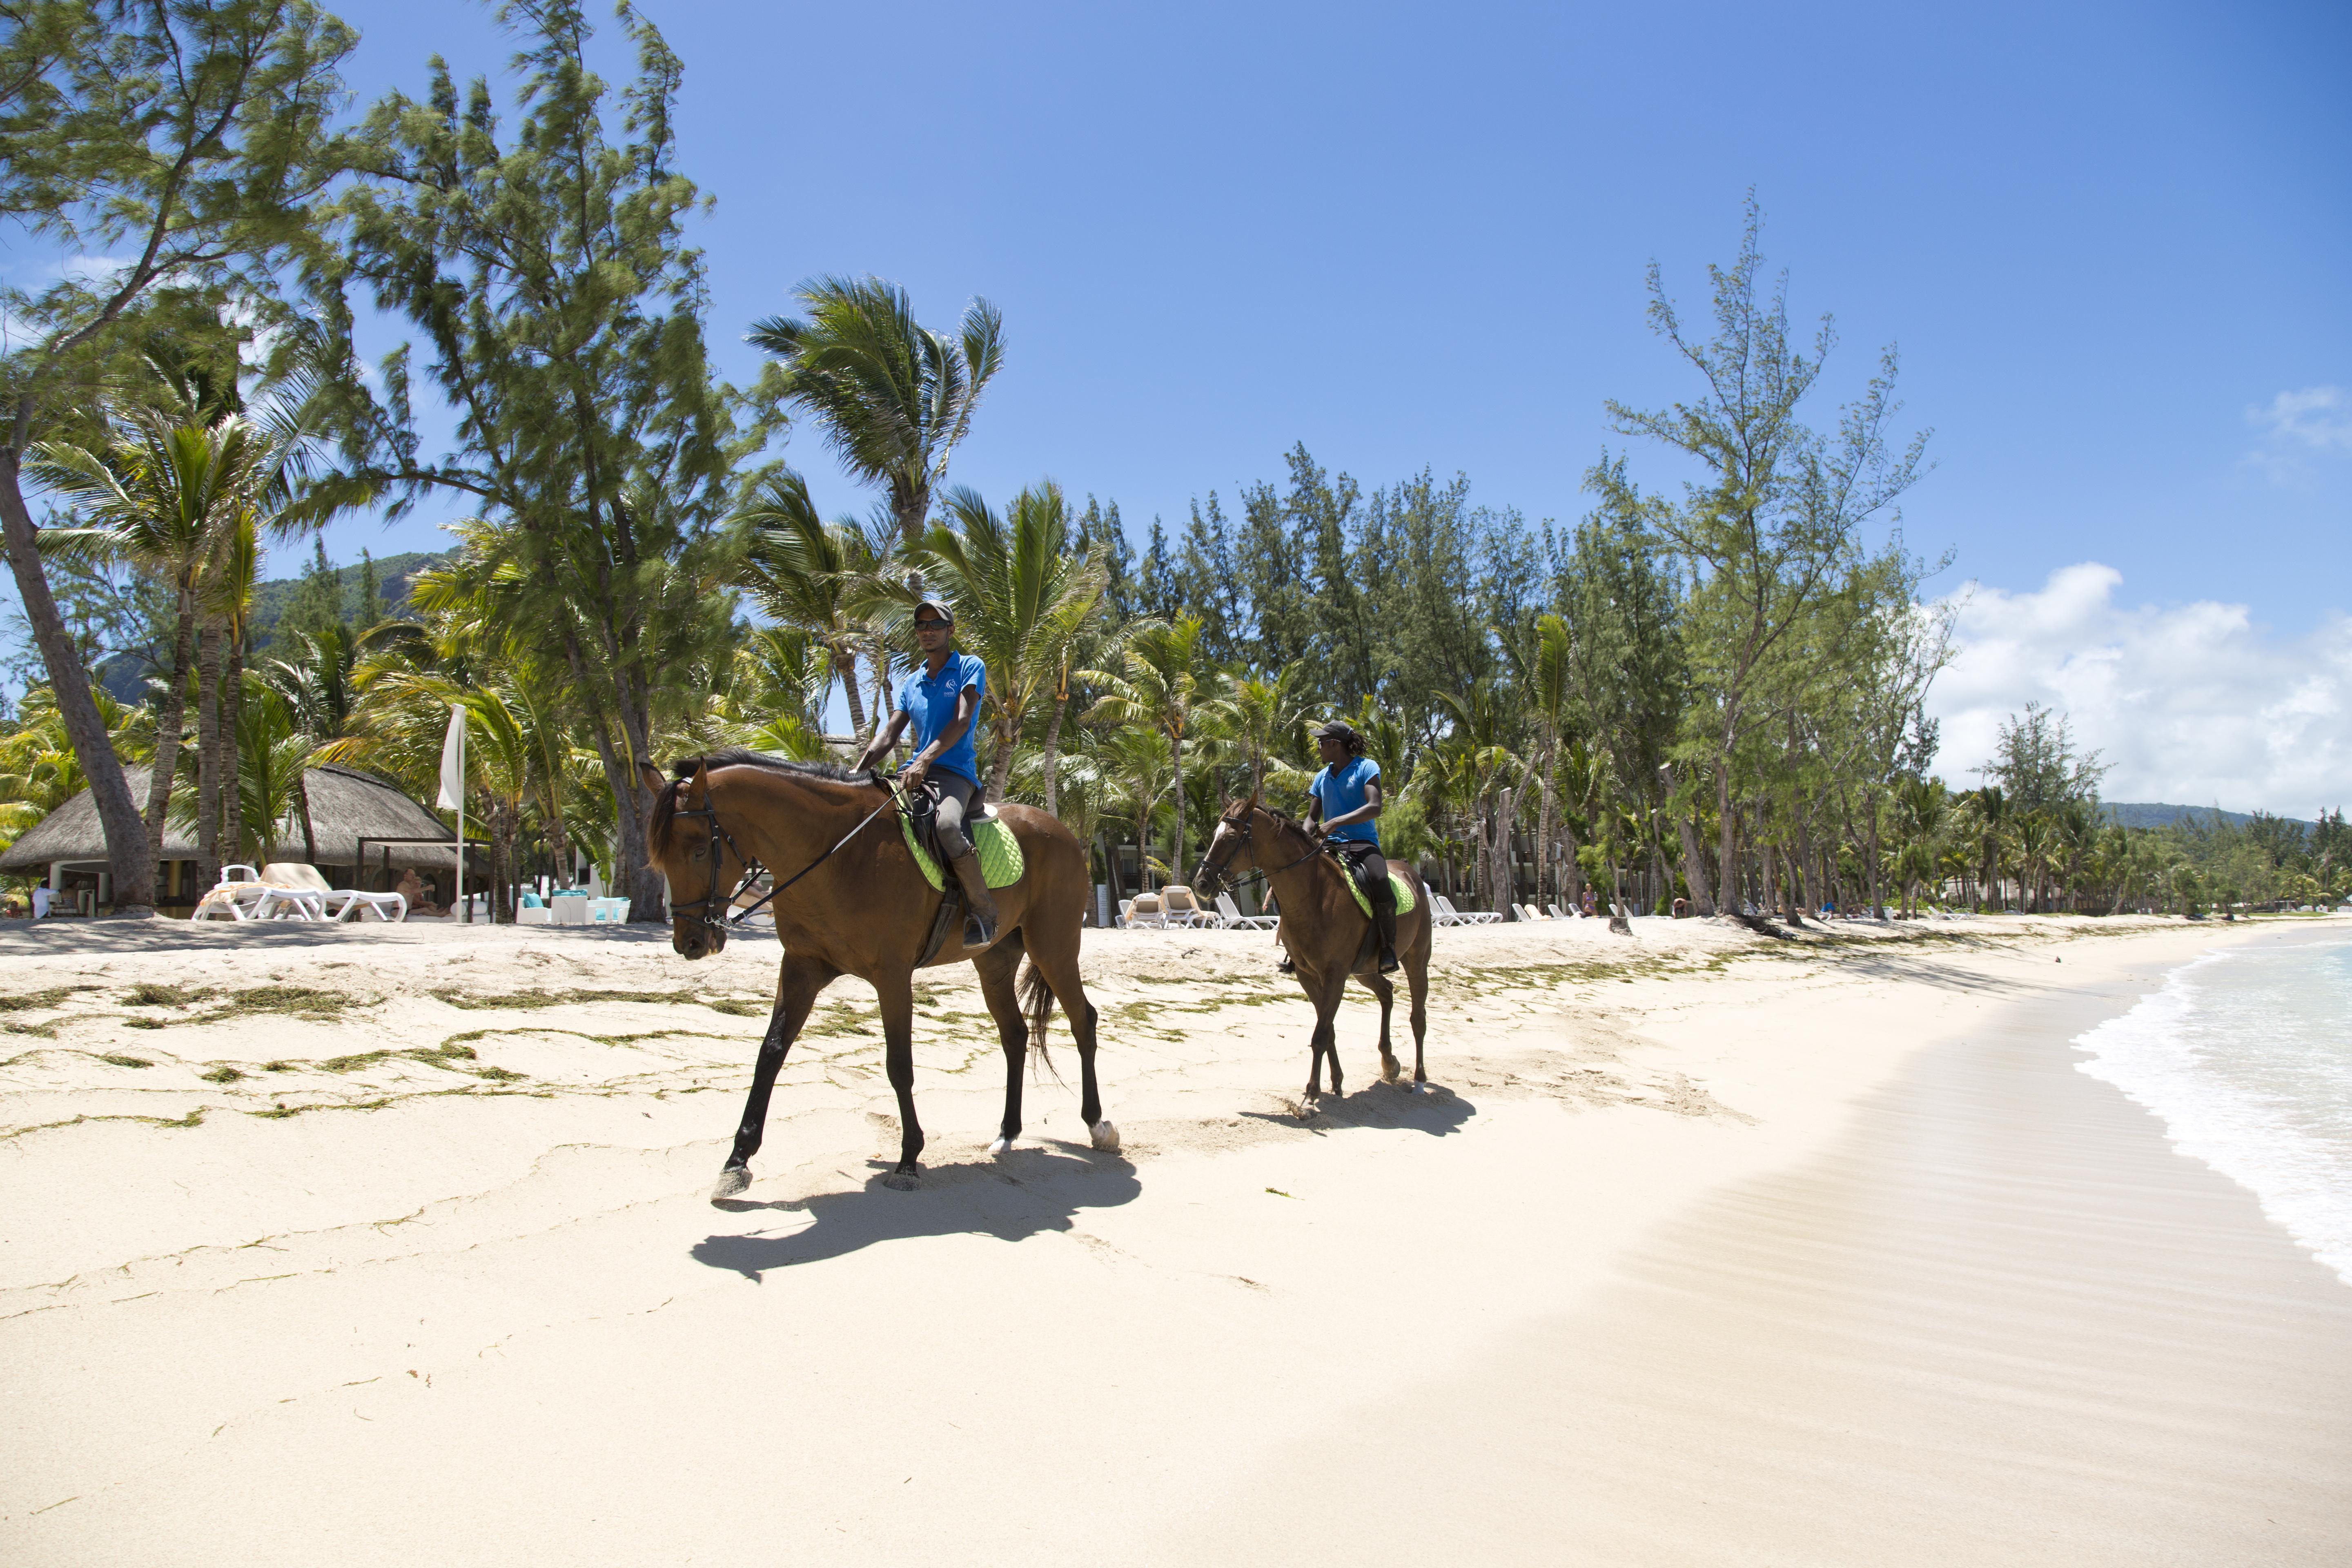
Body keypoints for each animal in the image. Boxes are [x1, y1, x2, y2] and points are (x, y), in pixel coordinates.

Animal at [639, 752, 1115, 1203]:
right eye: (661, 857)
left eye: (699, 851)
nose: (691, 942)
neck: (836, 852)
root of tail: (1060, 829)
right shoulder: (802, 966)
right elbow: (770, 1054)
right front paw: (737, 1161)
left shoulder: (892, 975)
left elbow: (899, 1065)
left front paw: (908, 1160)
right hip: (994, 962)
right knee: (1015, 1034)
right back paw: (1008, 1132)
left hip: (1054, 949)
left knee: (1083, 1022)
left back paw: (1097, 1124)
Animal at [1195, 799, 1430, 1105]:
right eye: (1214, 835)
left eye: (1232, 838)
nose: (1201, 884)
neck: (1315, 896)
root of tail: (1410, 872)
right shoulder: (1308, 975)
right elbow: (1327, 1030)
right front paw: (1335, 1082)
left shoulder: (1335, 977)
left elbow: (1320, 1035)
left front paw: (1310, 1095)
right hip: (1365, 970)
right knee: (1387, 993)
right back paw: (1389, 1062)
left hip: (1417, 961)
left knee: (1418, 1018)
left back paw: (1420, 1080)